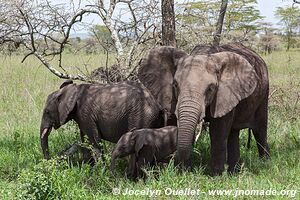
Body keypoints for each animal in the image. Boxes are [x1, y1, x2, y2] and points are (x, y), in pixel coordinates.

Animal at [138, 43, 270, 174]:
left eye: (211, 88)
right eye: (175, 85)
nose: (177, 166)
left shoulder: (224, 94)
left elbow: (218, 131)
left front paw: (216, 175)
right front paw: (181, 171)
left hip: (264, 93)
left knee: (260, 129)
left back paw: (264, 163)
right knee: (234, 133)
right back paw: (234, 172)